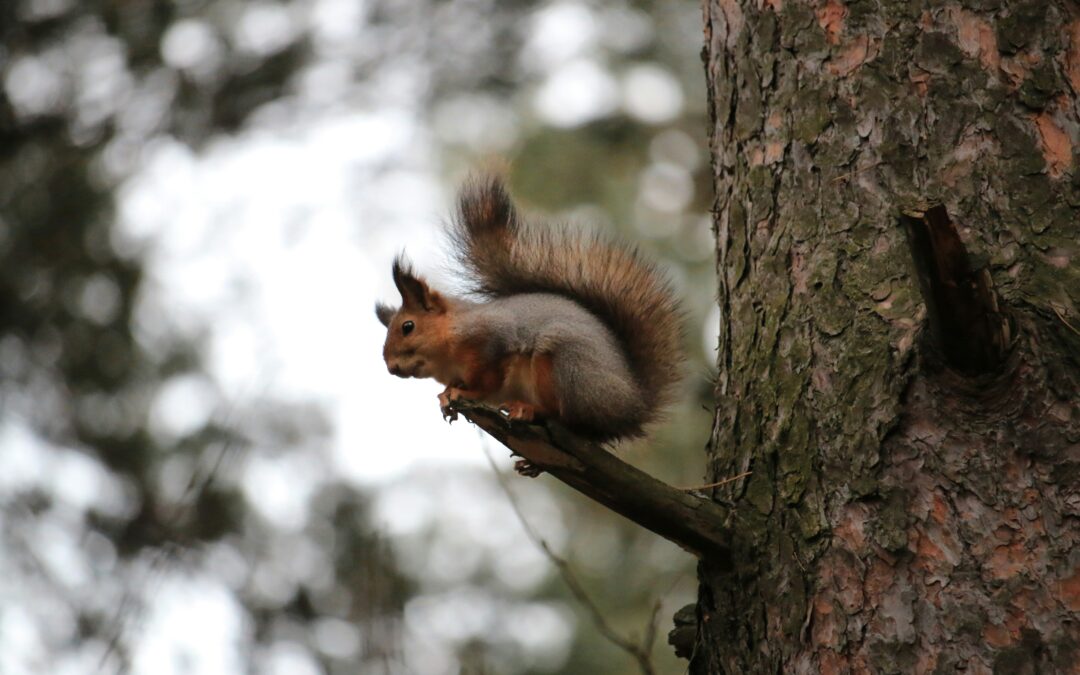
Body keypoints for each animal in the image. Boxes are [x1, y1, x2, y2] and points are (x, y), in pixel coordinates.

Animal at [375, 174, 684, 443]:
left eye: (408, 327)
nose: (391, 368)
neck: (447, 346)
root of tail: (633, 404)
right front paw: (445, 396)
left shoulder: (492, 341)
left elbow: (487, 382)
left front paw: (462, 392)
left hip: (564, 365)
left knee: (563, 416)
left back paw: (529, 409)